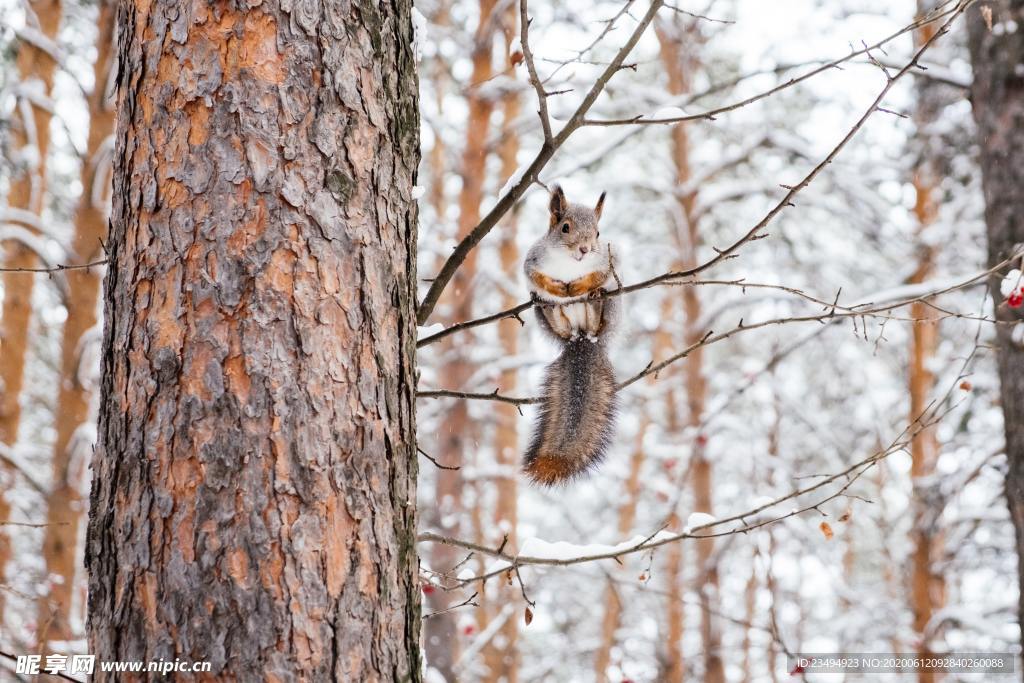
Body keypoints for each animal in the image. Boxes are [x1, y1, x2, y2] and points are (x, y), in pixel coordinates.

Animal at [520, 184, 614, 485]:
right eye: (565, 227)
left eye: (598, 233)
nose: (585, 249)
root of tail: (581, 338)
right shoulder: (533, 260)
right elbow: (535, 276)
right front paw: (557, 289)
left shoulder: (607, 260)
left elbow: (600, 274)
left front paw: (580, 287)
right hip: (553, 322)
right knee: (557, 320)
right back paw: (549, 304)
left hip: (603, 319)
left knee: (596, 320)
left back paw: (594, 301)